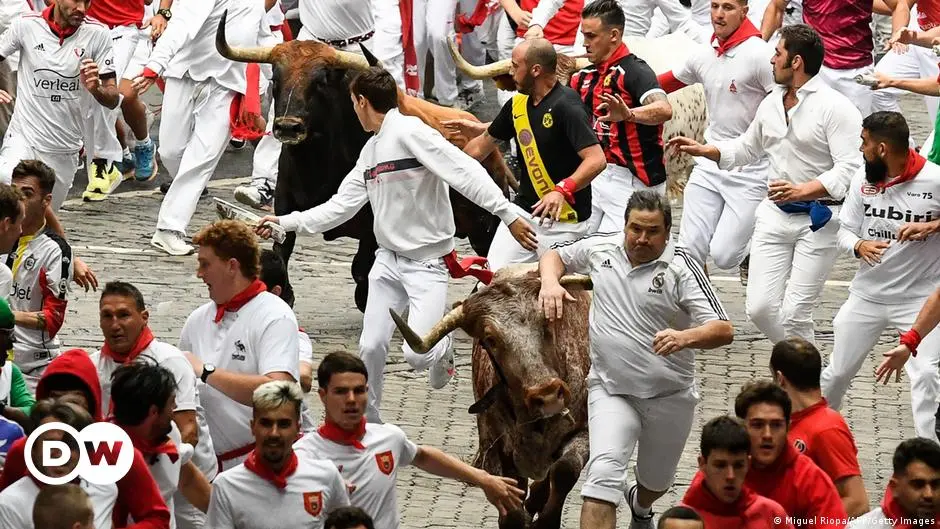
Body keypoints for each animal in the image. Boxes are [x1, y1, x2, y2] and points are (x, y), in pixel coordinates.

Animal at [390, 264, 596, 528]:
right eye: (490, 339)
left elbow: (564, 470)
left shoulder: (584, 429)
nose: (548, 394)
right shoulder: (493, 446)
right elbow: (510, 504)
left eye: (548, 320)